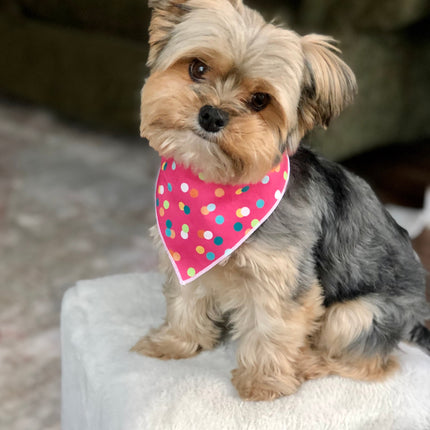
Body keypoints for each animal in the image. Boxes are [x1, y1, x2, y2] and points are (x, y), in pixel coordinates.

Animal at [132, 0, 430, 404]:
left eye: (260, 100)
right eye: (197, 68)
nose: (211, 114)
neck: (215, 187)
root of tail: (417, 315)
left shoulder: (282, 280)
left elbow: (271, 329)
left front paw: (263, 383)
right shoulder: (185, 257)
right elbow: (185, 299)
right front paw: (174, 343)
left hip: (359, 313)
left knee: (372, 362)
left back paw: (311, 363)